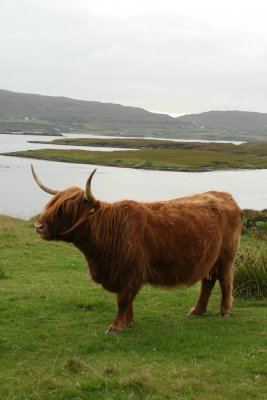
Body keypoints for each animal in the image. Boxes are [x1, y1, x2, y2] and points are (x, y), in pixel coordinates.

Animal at [31, 164, 243, 332]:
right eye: (52, 204)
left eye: (66, 209)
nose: (38, 226)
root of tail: (225, 195)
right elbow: (127, 300)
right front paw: (129, 322)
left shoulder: (130, 271)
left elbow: (123, 299)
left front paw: (116, 326)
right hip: (209, 258)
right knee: (208, 282)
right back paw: (197, 310)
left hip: (226, 257)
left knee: (225, 281)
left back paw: (225, 311)